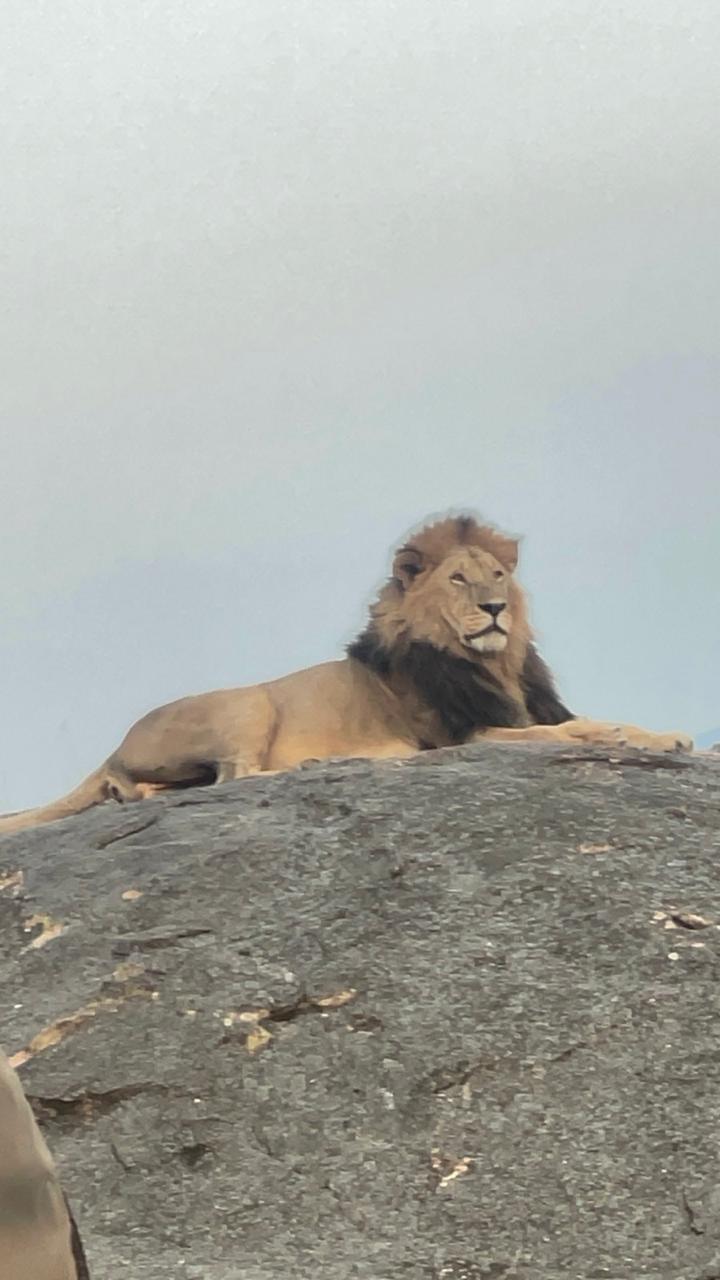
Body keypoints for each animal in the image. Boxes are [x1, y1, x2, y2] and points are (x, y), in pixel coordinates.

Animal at [0, 514, 692, 835]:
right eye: (458, 579)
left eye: (497, 575)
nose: (496, 608)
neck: (490, 661)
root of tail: (116, 742)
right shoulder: (466, 734)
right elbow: (562, 734)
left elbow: (602, 721)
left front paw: (667, 738)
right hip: (249, 704)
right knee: (236, 774)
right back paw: (324, 762)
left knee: (163, 786)